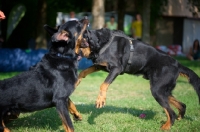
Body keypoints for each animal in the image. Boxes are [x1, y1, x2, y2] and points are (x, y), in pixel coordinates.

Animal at [66, 27, 199, 130]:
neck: (102, 44)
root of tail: (178, 65)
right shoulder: (101, 65)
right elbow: (84, 71)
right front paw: (76, 81)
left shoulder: (116, 68)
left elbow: (103, 84)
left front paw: (100, 100)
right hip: (163, 90)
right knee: (182, 105)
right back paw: (179, 118)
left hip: (157, 90)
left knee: (171, 112)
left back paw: (165, 127)